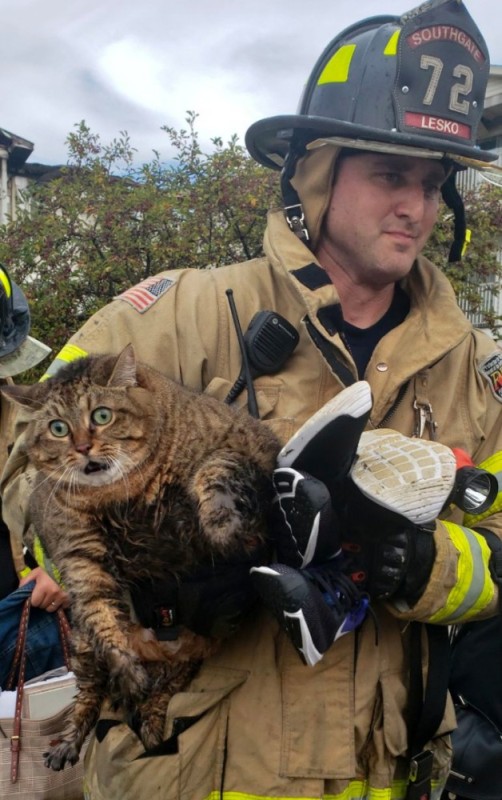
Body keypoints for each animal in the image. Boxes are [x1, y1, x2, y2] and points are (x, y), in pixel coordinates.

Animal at [1, 344, 280, 768]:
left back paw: (150, 719)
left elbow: (214, 471)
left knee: (163, 694)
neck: (122, 491)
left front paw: (222, 527)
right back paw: (70, 741)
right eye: (58, 428)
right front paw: (126, 667)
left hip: (190, 656)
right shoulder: (79, 553)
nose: (82, 448)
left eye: (102, 415)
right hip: (82, 650)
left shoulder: (241, 444)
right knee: (90, 698)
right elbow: (101, 616)